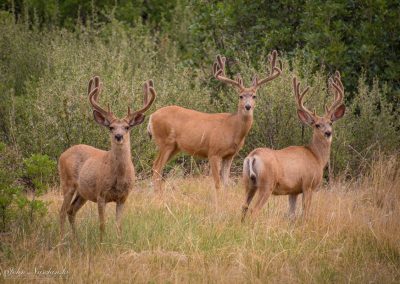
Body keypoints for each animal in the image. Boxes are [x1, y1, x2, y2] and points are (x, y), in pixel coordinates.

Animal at [59, 76, 156, 241]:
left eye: (127, 127)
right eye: (111, 127)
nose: (118, 136)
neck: (118, 177)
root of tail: (62, 154)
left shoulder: (123, 197)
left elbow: (119, 225)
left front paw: (119, 241)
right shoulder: (101, 194)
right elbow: (102, 224)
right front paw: (101, 242)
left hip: (82, 193)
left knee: (71, 211)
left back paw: (75, 239)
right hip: (67, 183)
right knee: (61, 212)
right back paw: (61, 239)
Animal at [147, 51, 282, 207]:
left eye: (254, 96)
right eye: (240, 96)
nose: (248, 106)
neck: (232, 129)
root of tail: (151, 117)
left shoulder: (230, 155)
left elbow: (226, 183)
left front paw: (225, 202)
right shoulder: (213, 152)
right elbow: (217, 183)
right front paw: (218, 204)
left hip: (175, 147)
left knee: (158, 168)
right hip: (165, 142)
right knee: (156, 167)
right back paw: (158, 198)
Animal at [241, 71, 346, 222]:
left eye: (330, 122)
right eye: (317, 125)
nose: (328, 132)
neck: (317, 157)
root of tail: (252, 156)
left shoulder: (293, 191)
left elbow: (291, 214)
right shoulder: (308, 185)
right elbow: (305, 213)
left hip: (248, 183)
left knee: (243, 207)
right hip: (266, 184)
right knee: (254, 210)